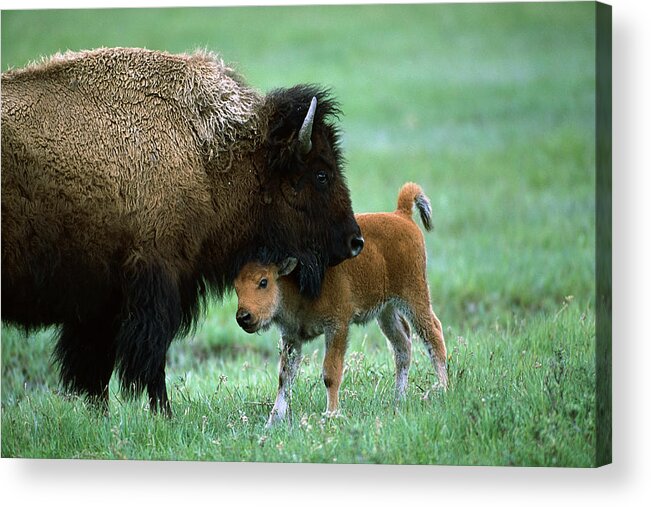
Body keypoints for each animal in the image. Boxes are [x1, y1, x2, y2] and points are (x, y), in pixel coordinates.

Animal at [0, 47, 364, 414]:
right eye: (321, 174)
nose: (355, 241)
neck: (206, 155)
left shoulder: (100, 303)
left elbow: (94, 369)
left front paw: (102, 414)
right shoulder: (156, 283)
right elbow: (150, 357)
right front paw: (165, 413)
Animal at [234, 183, 448, 428]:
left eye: (263, 281)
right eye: (236, 287)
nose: (244, 317)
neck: (293, 280)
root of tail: (400, 215)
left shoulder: (336, 326)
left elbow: (330, 372)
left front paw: (331, 414)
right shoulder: (291, 337)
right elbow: (285, 377)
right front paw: (272, 421)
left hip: (413, 295)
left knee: (433, 334)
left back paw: (442, 389)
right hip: (386, 311)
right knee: (402, 344)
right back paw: (398, 399)